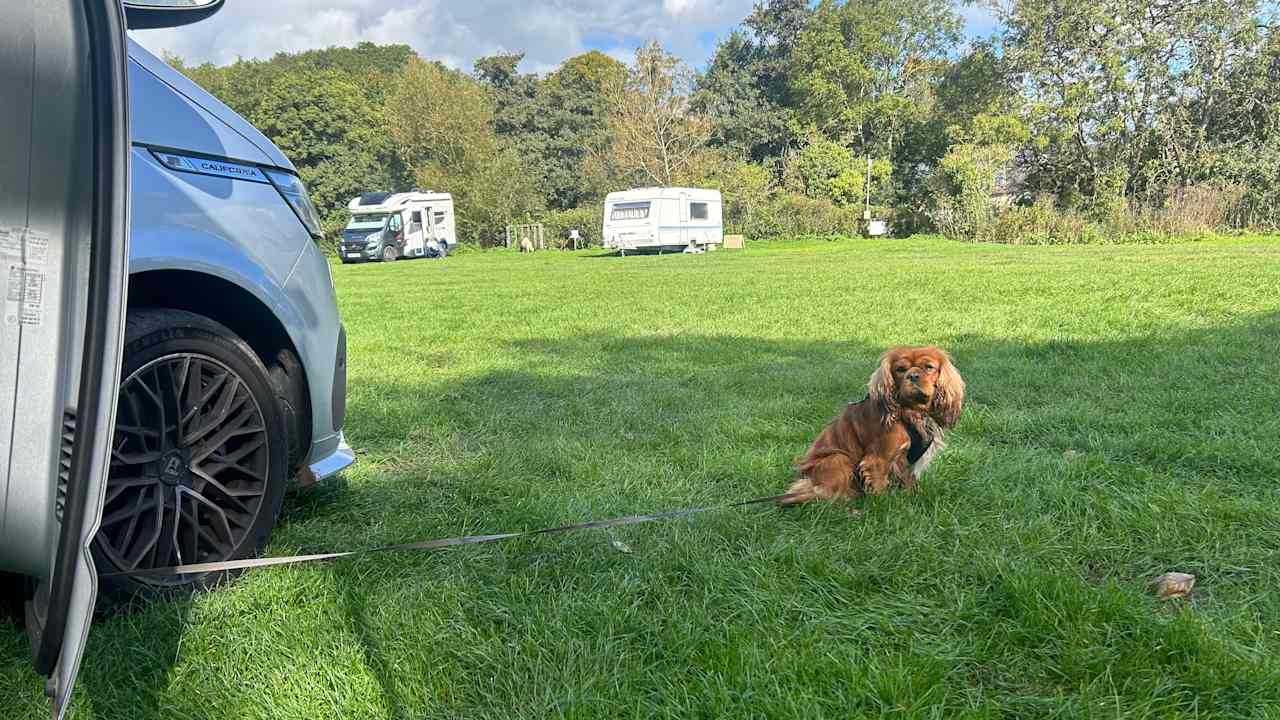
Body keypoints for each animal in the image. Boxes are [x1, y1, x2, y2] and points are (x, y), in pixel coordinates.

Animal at [778, 345, 967, 502]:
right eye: (900, 369)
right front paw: (882, 506)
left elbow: (909, 482)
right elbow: (879, 487)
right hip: (838, 458)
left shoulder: (907, 463)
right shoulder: (877, 459)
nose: (912, 375)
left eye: (929, 367)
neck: (912, 412)